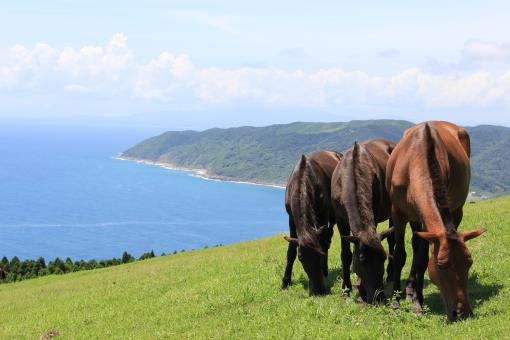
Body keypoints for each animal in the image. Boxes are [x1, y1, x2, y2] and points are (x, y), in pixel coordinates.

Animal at [282, 150, 342, 294]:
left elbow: (323, 243)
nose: (319, 290)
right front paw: (285, 281)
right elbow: (291, 251)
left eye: (319, 255)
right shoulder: (291, 218)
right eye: (301, 258)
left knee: (328, 238)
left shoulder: (323, 214)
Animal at [332, 139, 396, 304]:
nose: (379, 297)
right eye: (362, 260)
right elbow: (346, 254)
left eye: (383, 258)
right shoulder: (341, 220)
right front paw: (346, 289)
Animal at [388, 122, 484, 322]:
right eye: (440, 266)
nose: (462, 312)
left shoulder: (429, 221)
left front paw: (418, 302)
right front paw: (395, 302)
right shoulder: (398, 213)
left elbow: (422, 260)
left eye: (469, 263)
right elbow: (400, 255)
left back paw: (411, 289)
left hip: (456, 210)